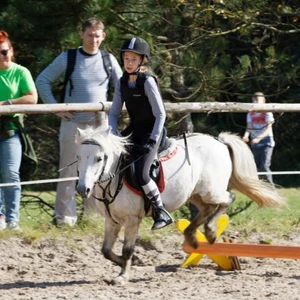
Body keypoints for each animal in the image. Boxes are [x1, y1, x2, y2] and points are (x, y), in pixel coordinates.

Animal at [76, 125, 284, 284]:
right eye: (79, 157)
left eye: (99, 158)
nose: (82, 189)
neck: (115, 176)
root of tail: (219, 141)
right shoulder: (112, 221)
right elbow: (106, 251)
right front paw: (133, 262)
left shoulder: (132, 219)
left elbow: (126, 249)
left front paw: (122, 276)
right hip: (194, 193)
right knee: (206, 209)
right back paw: (192, 236)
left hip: (211, 190)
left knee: (228, 199)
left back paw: (209, 232)